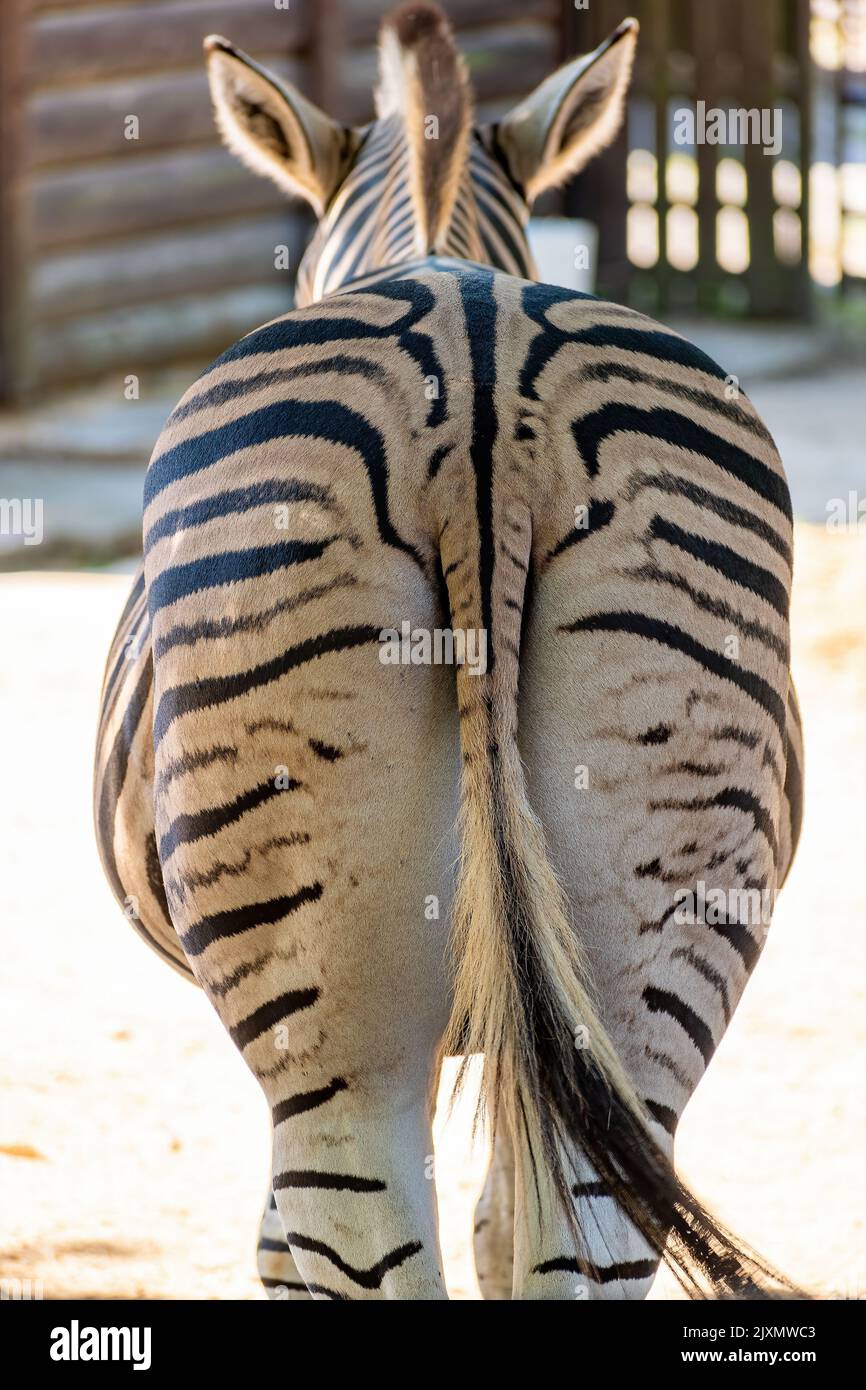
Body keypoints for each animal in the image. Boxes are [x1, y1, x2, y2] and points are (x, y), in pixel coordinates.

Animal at [91, 2, 800, 1301]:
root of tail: (479, 376)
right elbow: (496, 1227)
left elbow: (279, 1246)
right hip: (658, 915)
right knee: (576, 1237)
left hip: (338, 1040)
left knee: (353, 1226)